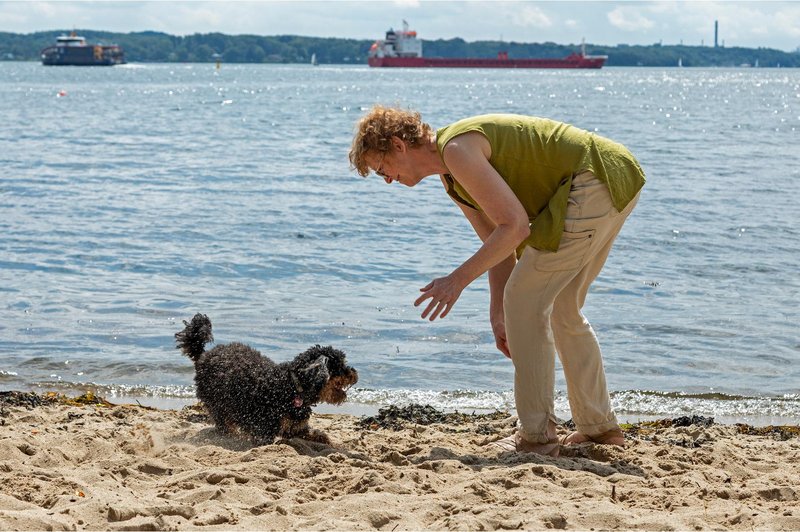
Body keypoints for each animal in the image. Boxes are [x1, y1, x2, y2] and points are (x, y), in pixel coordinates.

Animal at [180, 314, 360, 442]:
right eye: (341, 365)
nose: (355, 373)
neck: (292, 387)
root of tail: (204, 355)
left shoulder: (295, 427)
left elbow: (315, 435)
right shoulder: (264, 429)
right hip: (218, 403)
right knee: (224, 423)